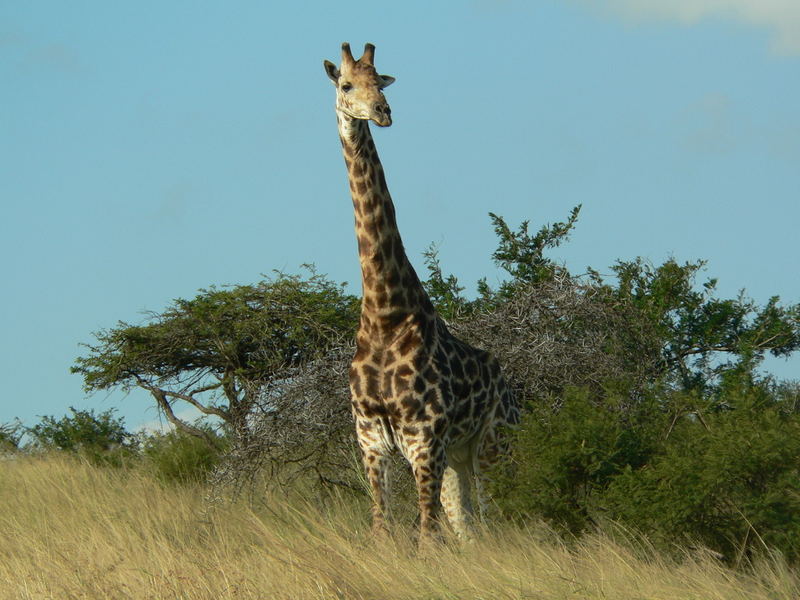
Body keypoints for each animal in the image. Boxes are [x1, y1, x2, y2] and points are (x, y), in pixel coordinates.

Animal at [322, 42, 520, 544]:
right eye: (346, 85)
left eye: (380, 81)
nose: (382, 112)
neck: (384, 312)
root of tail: (511, 388)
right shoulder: (372, 441)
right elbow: (382, 528)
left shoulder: (424, 438)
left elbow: (427, 536)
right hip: (459, 459)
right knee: (470, 530)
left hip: (494, 445)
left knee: (495, 521)